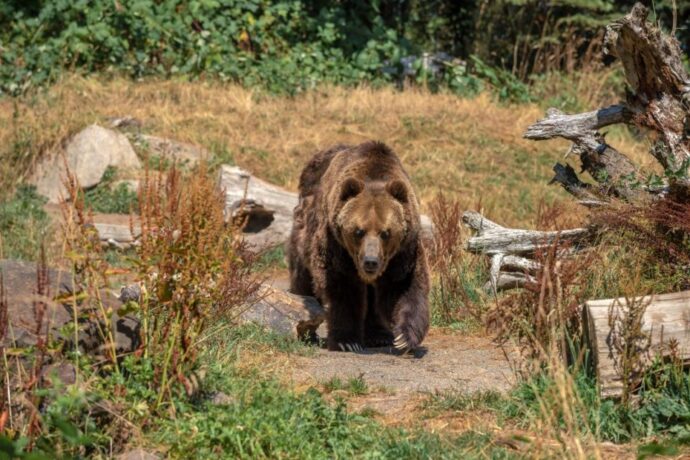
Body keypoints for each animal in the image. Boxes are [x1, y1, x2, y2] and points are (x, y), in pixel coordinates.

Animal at [286, 140, 428, 352]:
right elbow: (343, 289)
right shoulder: (336, 245)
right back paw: (306, 327)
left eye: (386, 232)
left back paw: (378, 336)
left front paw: (403, 337)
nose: (371, 261)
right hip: (305, 231)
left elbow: (404, 287)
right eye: (358, 231)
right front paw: (347, 341)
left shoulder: (403, 252)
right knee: (303, 277)